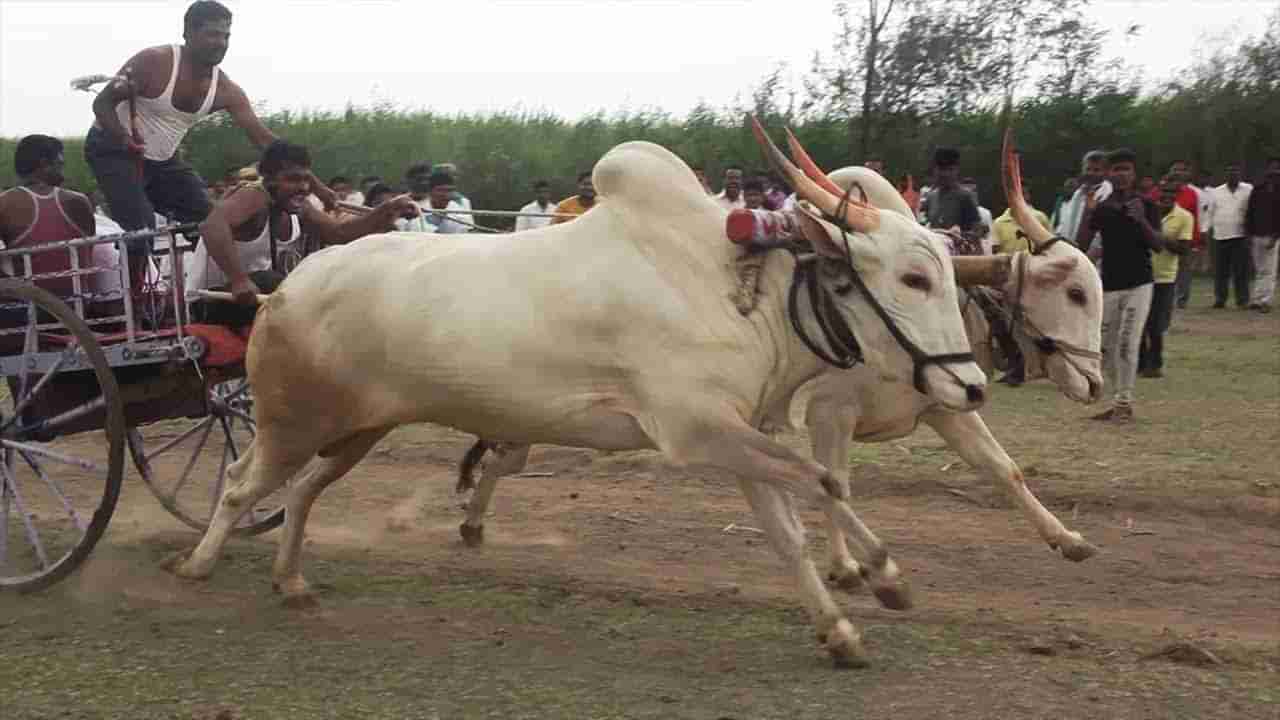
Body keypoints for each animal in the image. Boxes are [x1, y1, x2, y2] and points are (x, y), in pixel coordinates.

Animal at [170, 126, 983, 666]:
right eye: (914, 276)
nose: (971, 385)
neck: (736, 286)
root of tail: (285, 286)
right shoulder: (698, 432)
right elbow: (825, 480)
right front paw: (885, 578)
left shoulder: (738, 439)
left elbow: (790, 531)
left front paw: (839, 629)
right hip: (290, 422)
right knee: (240, 484)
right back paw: (198, 566)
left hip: (356, 431)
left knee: (303, 492)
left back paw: (291, 581)